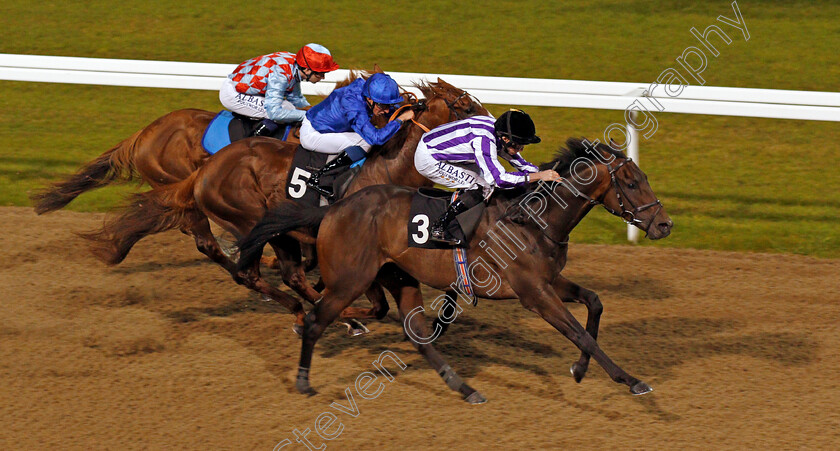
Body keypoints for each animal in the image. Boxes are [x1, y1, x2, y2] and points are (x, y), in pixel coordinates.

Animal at [80, 79, 486, 332]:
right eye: (464, 104)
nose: (495, 129)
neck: (386, 167)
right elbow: (372, 299)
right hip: (253, 221)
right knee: (243, 268)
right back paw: (318, 311)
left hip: (275, 229)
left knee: (284, 274)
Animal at [235, 138, 676, 402]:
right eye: (631, 183)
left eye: (644, 177)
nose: (664, 225)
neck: (534, 220)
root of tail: (334, 209)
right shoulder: (534, 294)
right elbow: (579, 334)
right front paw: (630, 380)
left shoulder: (550, 281)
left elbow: (595, 303)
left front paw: (580, 370)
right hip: (350, 280)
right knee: (315, 320)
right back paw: (304, 379)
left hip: (399, 277)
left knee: (417, 335)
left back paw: (464, 387)